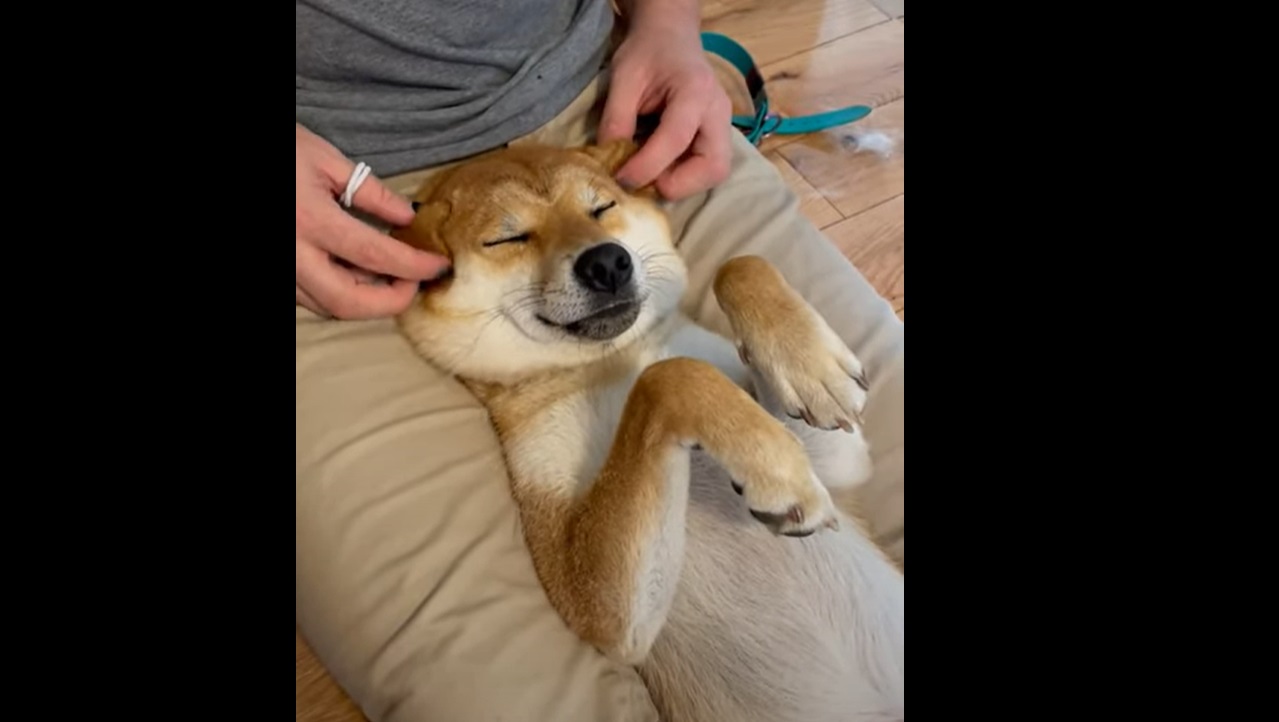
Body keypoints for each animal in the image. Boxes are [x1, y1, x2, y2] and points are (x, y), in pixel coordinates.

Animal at [393, 140, 905, 720]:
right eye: (508, 237)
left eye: (601, 208)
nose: (607, 261)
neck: (614, 359)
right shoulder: (597, 607)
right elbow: (668, 377)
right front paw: (777, 467)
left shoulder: (838, 458)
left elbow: (737, 266)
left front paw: (810, 365)